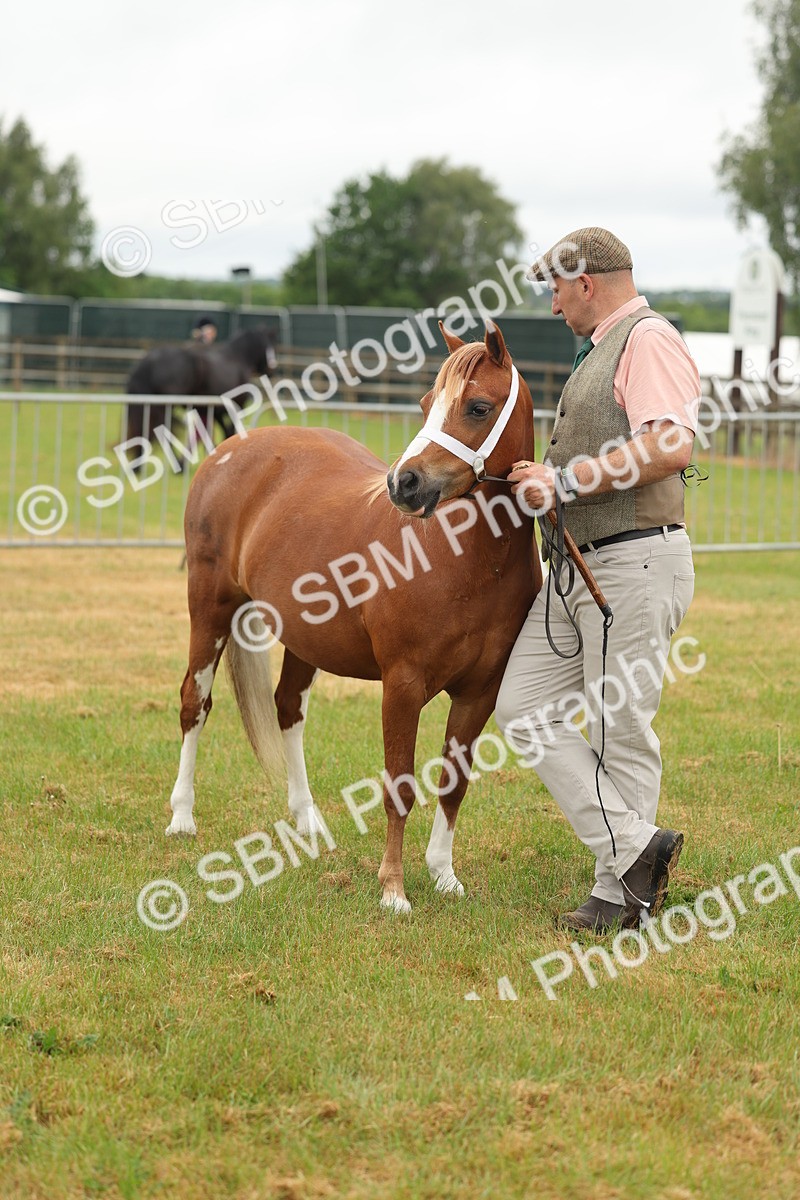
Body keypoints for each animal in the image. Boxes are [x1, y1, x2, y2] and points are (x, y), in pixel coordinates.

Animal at [124, 325, 279, 448]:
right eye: (269, 345)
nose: (272, 369)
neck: (237, 358)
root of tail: (149, 361)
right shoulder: (237, 406)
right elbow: (229, 431)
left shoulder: (215, 410)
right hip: (164, 406)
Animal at [165, 319, 542, 912]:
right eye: (426, 402)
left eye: (478, 407)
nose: (404, 484)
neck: (466, 561)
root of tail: (229, 449)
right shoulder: (403, 687)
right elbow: (399, 785)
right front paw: (393, 890)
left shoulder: (479, 693)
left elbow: (453, 782)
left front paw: (444, 874)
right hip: (209, 612)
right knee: (194, 704)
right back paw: (182, 815)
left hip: (303, 637)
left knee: (287, 708)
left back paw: (309, 823)